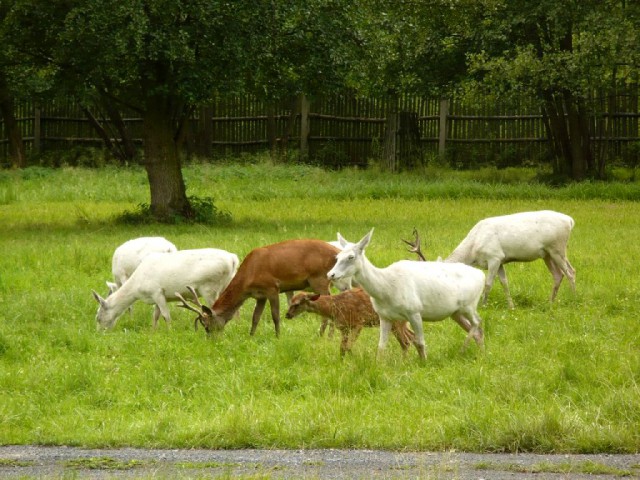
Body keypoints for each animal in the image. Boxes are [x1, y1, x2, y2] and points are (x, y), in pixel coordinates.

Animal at [328, 229, 485, 360]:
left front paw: (424, 362)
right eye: (337, 256)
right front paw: (378, 365)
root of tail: (481, 274)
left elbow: (420, 342)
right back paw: (480, 353)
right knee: (476, 329)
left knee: (478, 323)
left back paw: (463, 350)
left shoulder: (414, 311)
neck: (386, 289)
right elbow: (381, 346)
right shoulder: (384, 316)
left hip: (469, 305)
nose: (331, 274)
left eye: (351, 257)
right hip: (455, 312)